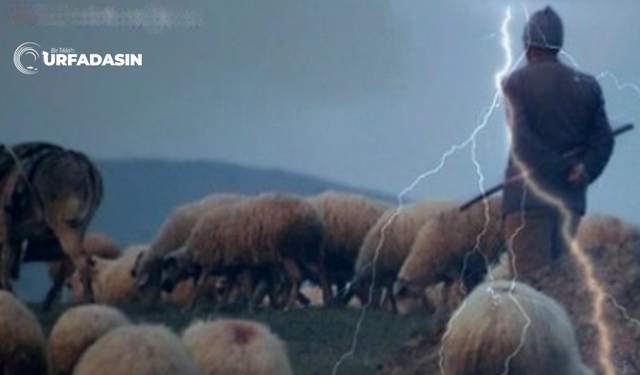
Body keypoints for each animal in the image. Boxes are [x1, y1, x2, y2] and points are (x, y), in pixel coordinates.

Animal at [162, 192, 328, 310]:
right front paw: (225, 306)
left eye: (169, 267)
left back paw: (289, 306)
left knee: (297, 277)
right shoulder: (236, 264)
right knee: (319, 271)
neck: (193, 252)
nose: (165, 286)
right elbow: (238, 285)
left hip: (289, 253)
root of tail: (314, 217)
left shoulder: (211, 262)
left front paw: (189, 307)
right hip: (305, 253)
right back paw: (327, 300)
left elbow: (201, 284)